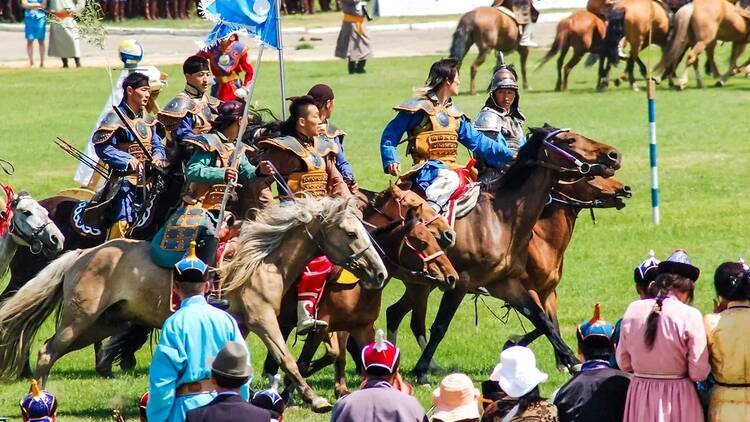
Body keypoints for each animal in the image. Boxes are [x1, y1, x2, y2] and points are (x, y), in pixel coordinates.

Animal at [0, 197, 388, 412]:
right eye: (350, 233)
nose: (380, 273)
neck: (262, 261)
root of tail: (81, 254)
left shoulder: (243, 324)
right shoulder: (263, 319)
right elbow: (287, 359)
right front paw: (316, 400)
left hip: (106, 322)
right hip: (80, 321)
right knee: (47, 351)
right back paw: (41, 399)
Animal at [382, 124, 624, 382]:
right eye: (569, 140)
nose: (614, 155)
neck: (502, 221)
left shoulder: (507, 284)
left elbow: (543, 321)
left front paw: (572, 362)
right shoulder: (461, 282)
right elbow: (440, 326)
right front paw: (421, 371)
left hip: (420, 282)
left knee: (395, 313)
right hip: (419, 283)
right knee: (409, 318)